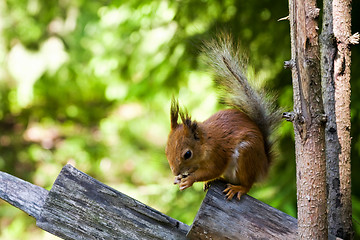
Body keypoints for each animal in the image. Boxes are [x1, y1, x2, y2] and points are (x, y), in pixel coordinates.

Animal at [166, 35, 282, 201]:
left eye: (187, 154)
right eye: (166, 150)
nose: (175, 172)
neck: (205, 142)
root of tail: (263, 168)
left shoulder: (217, 154)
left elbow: (212, 170)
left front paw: (189, 180)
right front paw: (179, 178)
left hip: (246, 156)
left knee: (247, 184)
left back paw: (237, 189)